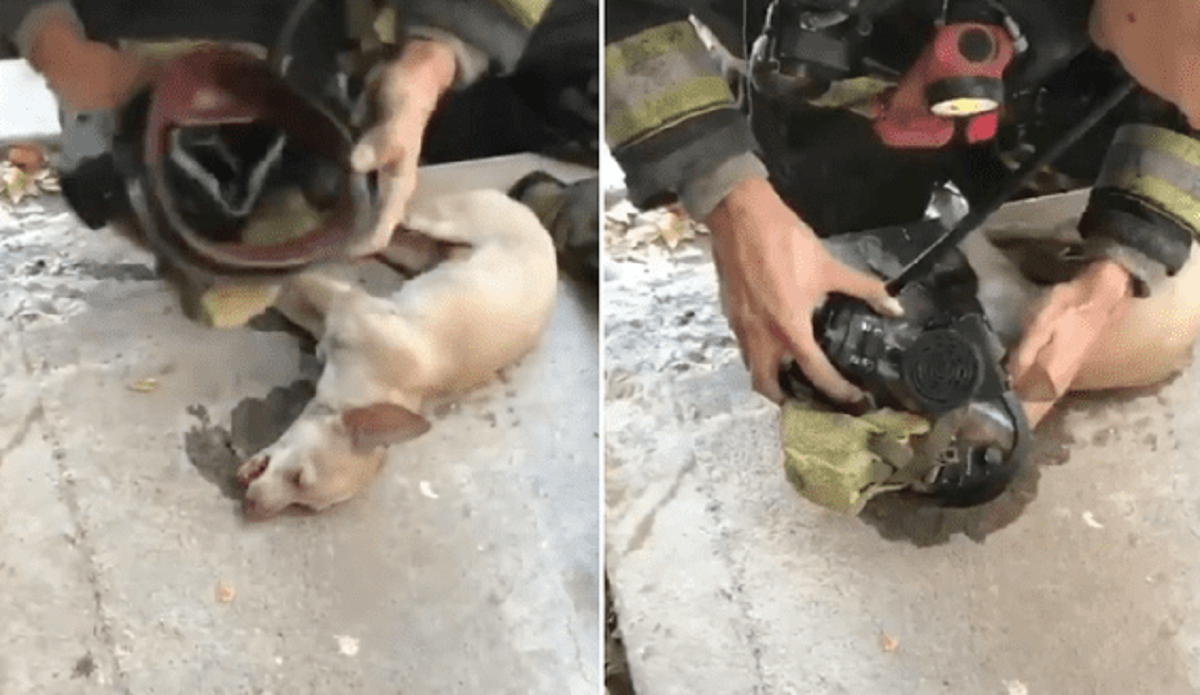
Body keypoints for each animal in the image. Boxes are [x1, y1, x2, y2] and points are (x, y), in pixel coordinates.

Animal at [236, 187, 559, 518]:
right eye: (298, 477)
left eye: (304, 501)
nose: (253, 507)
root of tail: (530, 214)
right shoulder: (340, 302)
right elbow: (291, 284)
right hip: (435, 222)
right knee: (389, 221)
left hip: (421, 253)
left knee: (384, 240)